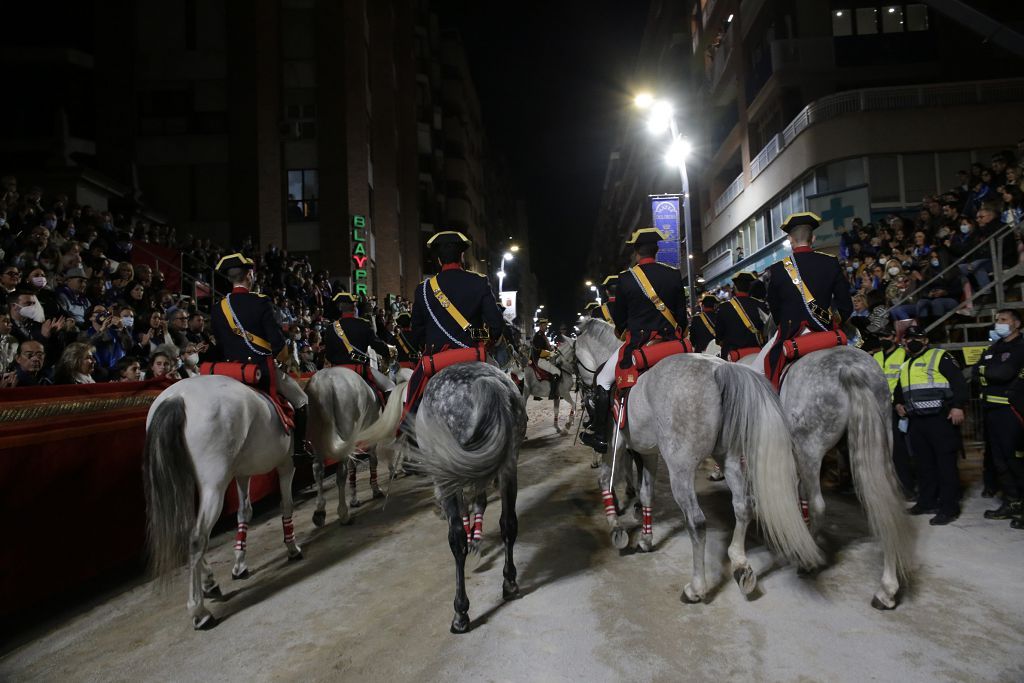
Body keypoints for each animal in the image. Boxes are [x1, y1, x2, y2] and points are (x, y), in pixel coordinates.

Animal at [305, 368, 409, 524]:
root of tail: (325, 382)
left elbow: (353, 466)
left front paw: (354, 498)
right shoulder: (372, 439)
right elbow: (374, 459)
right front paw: (377, 488)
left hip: (319, 439)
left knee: (318, 469)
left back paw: (320, 512)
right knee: (341, 473)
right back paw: (343, 513)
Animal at [401, 360, 524, 634]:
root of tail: (485, 382)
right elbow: (479, 503)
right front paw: (476, 539)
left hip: (448, 475)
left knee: (456, 540)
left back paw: (460, 613)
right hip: (508, 463)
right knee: (508, 523)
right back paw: (509, 582)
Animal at [573, 317, 819, 602]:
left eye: (572, 356)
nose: (582, 389)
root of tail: (719, 369)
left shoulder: (616, 445)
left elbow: (605, 480)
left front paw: (616, 528)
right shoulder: (648, 452)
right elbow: (646, 493)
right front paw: (645, 538)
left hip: (680, 469)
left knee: (697, 522)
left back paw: (697, 587)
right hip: (729, 458)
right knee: (744, 506)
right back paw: (741, 566)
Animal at [737, 348, 913, 610]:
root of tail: (849, 367)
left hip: (809, 449)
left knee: (818, 505)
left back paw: (807, 561)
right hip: (878, 444)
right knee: (884, 505)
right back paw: (887, 590)